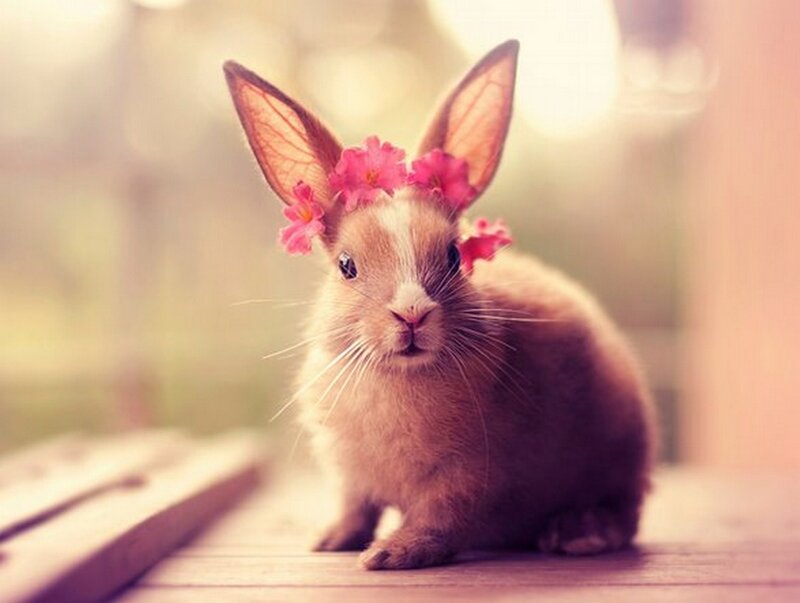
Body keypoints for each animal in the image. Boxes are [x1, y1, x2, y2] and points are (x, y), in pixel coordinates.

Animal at [223, 39, 656, 570]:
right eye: (346, 265)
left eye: (453, 256)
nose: (411, 312)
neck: (399, 375)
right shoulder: (350, 476)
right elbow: (354, 508)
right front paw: (330, 540)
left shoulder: (468, 475)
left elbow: (440, 520)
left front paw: (390, 555)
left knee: (625, 512)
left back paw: (579, 534)